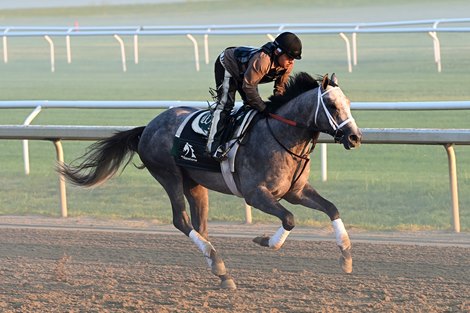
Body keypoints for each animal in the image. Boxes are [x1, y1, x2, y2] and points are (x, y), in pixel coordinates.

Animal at [57, 72, 360, 288]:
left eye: (348, 104)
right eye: (332, 105)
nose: (355, 137)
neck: (279, 136)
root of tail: (148, 127)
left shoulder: (295, 191)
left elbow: (332, 208)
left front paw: (346, 257)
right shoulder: (256, 194)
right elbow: (290, 219)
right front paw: (263, 240)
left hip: (195, 184)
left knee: (200, 225)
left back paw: (220, 270)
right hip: (168, 174)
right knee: (182, 221)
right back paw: (219, 265)